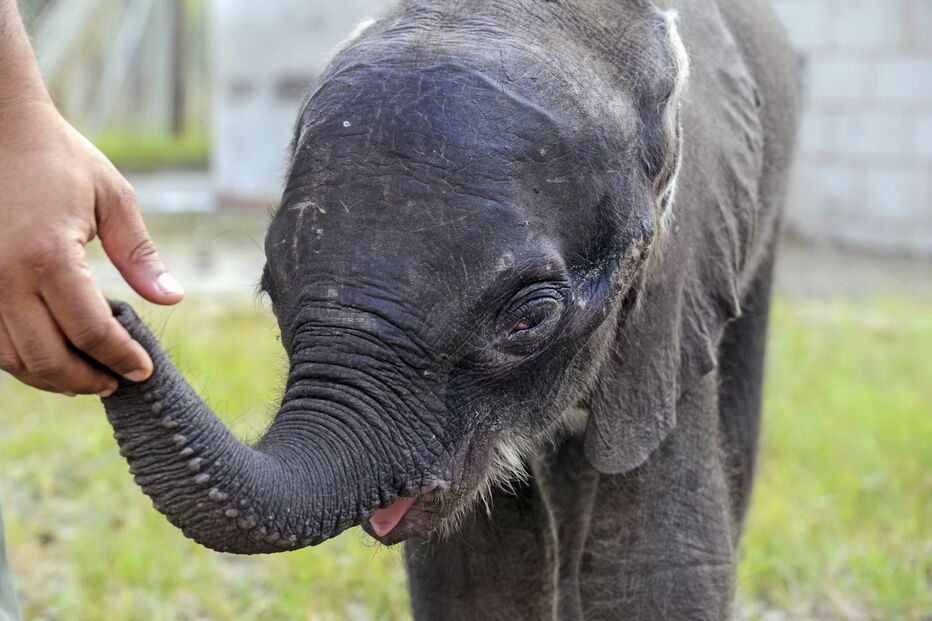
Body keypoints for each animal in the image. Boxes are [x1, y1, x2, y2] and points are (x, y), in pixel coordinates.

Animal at [100, 0, 801, 618]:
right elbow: (476, 575)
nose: (115, 315)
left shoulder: (680, 272)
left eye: (530, 318)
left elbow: (662, 565)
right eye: (271, 290)